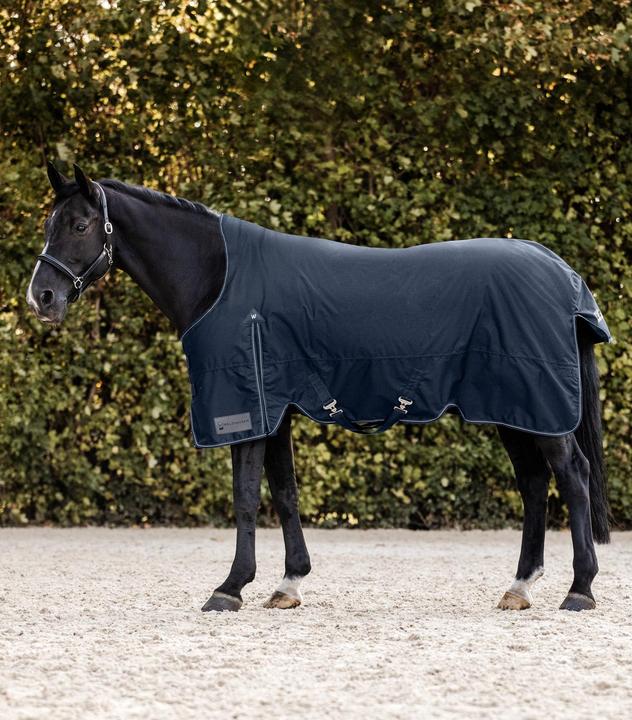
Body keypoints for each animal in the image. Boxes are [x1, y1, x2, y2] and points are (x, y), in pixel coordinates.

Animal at [27, 162, 611, 613]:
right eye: (51, 222)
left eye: (80, 223)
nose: (42, 298)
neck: (221, 280)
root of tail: (561, 273)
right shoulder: (275, 409)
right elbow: (284, 492)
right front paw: (288, 583)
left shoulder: (246, 410)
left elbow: (245, 496)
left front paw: (230, 588)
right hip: (513, 409)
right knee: (534, 483)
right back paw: (519, 587)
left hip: (538, 407)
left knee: (573, 476)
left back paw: (580, 590)